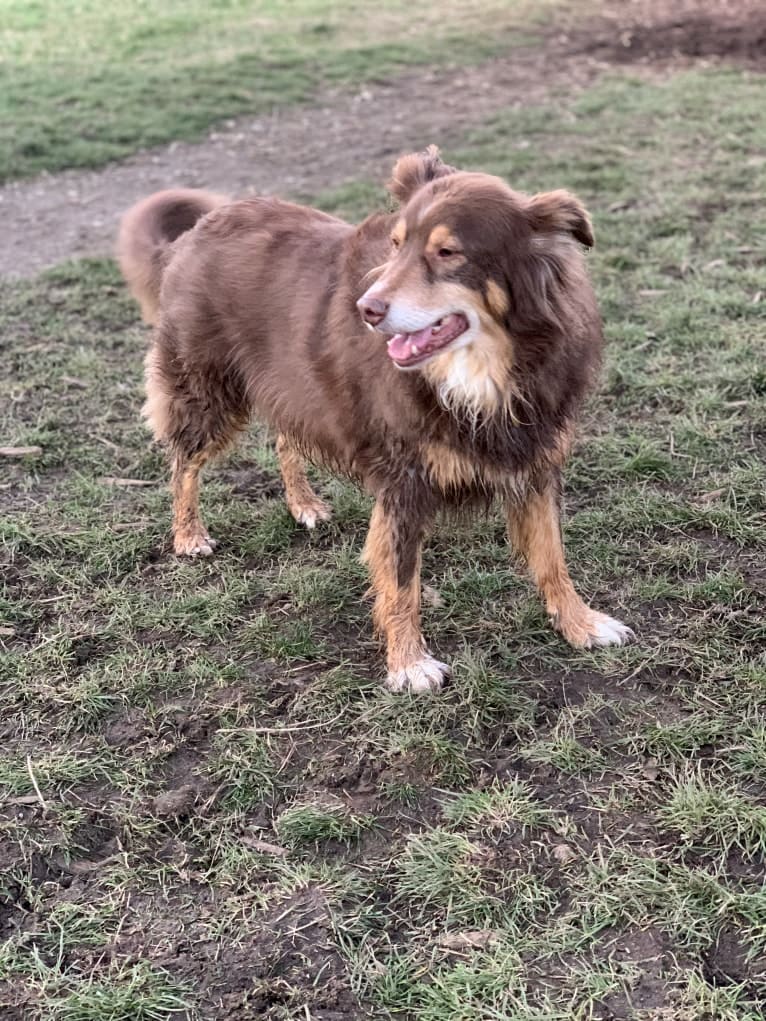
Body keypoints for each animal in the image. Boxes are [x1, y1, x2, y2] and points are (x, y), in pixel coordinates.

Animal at [116, 148, 633, 694]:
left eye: (448, 252)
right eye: (397, 245)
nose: (366, 309)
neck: (479, 373)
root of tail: (197, 231)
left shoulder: (535, 459)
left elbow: (552, 557)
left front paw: (581, 623)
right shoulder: (403, 481)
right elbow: (402, 580)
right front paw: (408, 663)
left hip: (293, 383)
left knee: (284, 438)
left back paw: (303, 504)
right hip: (207, 390)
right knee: (184, 464)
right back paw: (188, 535)